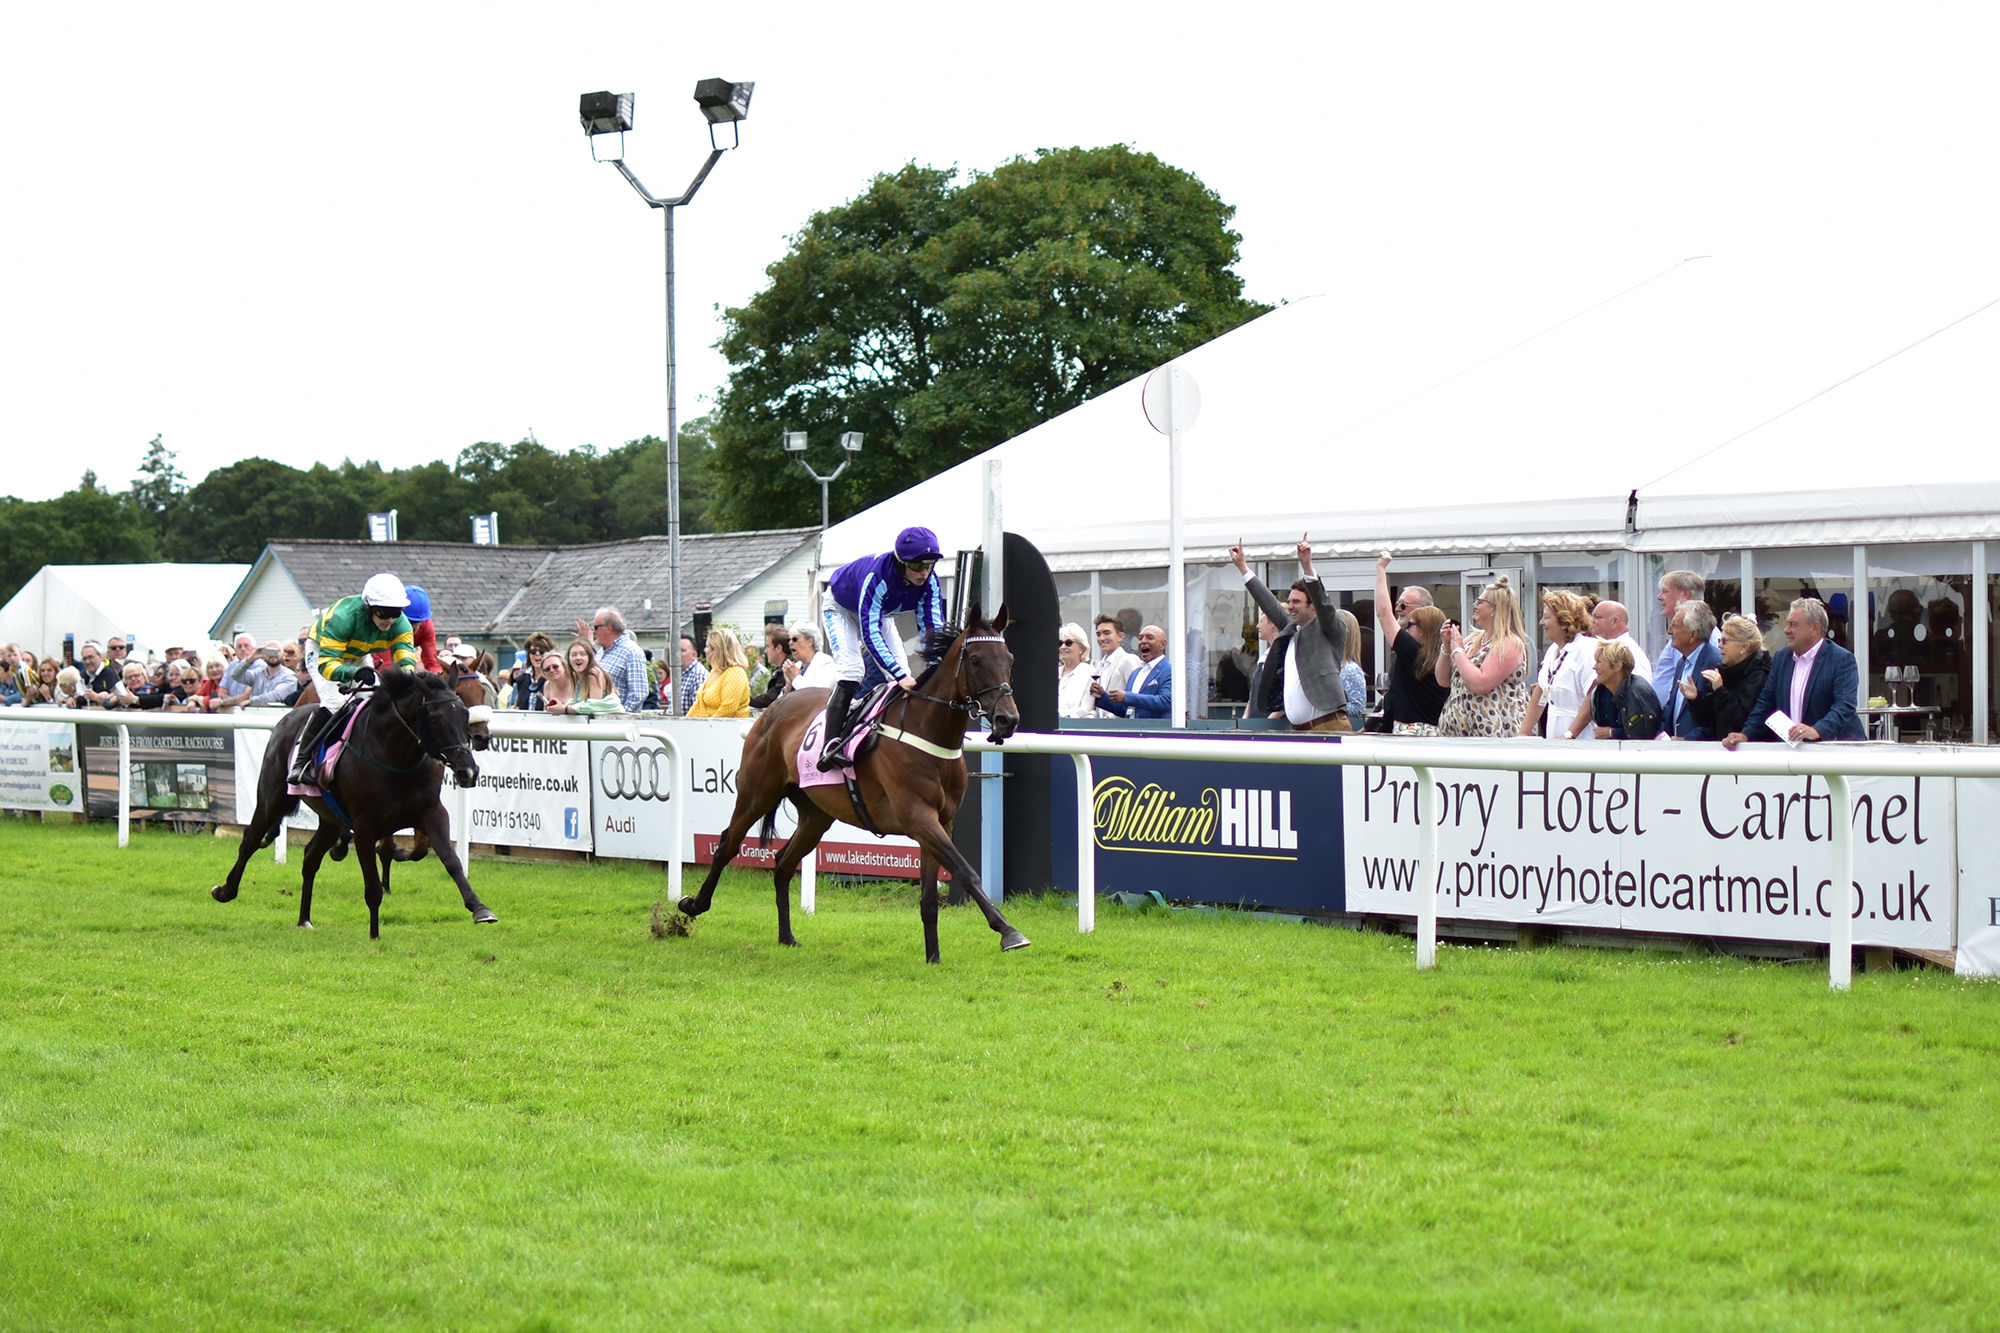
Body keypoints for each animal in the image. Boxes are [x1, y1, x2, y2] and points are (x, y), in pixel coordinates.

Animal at [212, 664, 496, 932]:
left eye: (464, 715)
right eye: (435, 719)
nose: (469, 771)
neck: (397, 756)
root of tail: (289, 715)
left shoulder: (431, 812)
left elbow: (451, 860)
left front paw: (480, 908)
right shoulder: (364, 826)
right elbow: (373, 885)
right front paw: (374, 935)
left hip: (330, 817)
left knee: (310, 857)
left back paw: (304, 919)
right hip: (272, 800)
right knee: (249, 840)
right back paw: (225, 891)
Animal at [684, 608, 1032, 960]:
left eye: (1010, 659)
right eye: (975, 660)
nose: (1008, 720)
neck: (927, 730)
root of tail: (774, 707)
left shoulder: (940, 822)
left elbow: (930, 897)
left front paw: (933, 957)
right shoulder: (919, 817)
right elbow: (966, 871)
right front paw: (1008, 931)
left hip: (816, 815)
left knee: (782, 863)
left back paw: (787, 936)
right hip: (757, 794)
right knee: (727, 844)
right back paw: (693, 905)